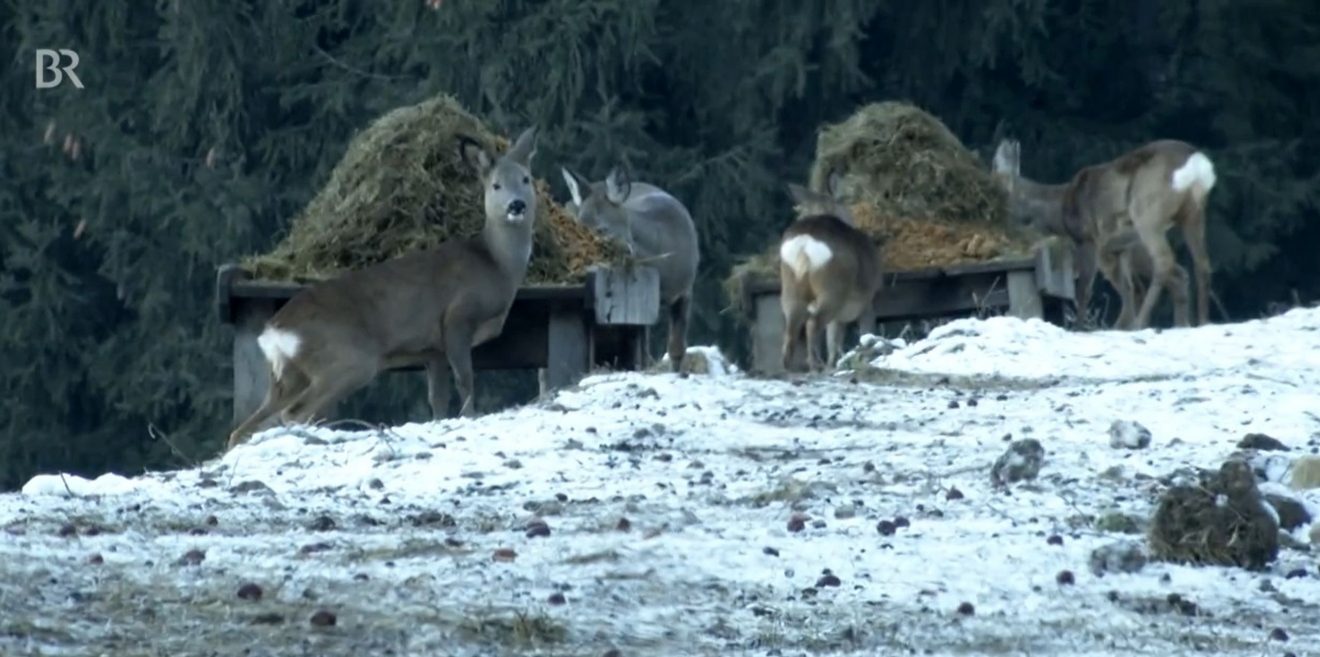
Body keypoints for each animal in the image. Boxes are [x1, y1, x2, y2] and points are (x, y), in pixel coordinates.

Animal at [228, 125, 541, 448]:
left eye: (526, 179)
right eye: (495, 185)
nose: (516, 205)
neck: (495, 265)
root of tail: (274, 332)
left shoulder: (432, 349)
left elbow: (437, 400)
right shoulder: (457, 317)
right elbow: (465, 381)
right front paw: (469, 416)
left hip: (287, 375)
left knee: (243, 428)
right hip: (348, 359)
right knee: (295, 412)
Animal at [776, 175, 881, 374]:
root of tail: (805, 243)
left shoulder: (840, 317)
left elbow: (832, 342)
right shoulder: (867, 303)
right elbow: (864, 335)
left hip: (790, 286)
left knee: (791, 330)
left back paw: (790, 368)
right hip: (833, 288)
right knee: (812, 324)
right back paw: (815, 366)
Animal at [992, 140, 1214, 331]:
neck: (1060, 211)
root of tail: (1196, 163)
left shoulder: (1088, 239)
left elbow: (1084, 290)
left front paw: (1079, 328)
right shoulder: (1118, 247)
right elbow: (1128, 289)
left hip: (1147, 212)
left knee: (1166, 263)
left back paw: (1142, 322)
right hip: (1193, 214)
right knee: (1199, 264)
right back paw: (1198, 322)